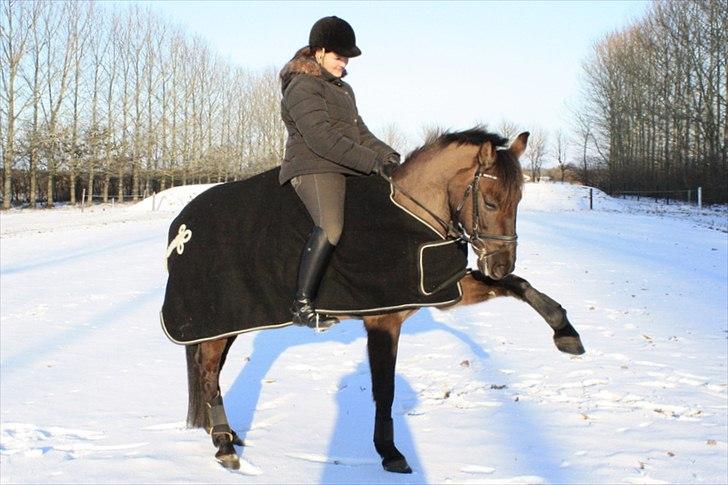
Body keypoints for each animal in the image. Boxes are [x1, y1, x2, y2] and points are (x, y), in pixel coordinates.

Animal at [172, 129, 584, 472]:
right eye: (490, 201)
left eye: (518, 200)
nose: (499, 264)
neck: (411, 214)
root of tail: (182, 226)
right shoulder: (383, 321)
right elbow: (385, 389)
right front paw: (390, 452)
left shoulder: (441, 289)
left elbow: (520, 286)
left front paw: (565, 332)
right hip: (217, 323)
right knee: (208, 372)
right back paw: (224, 446)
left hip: (227, 325)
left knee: (212, 373)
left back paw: (224, 434)